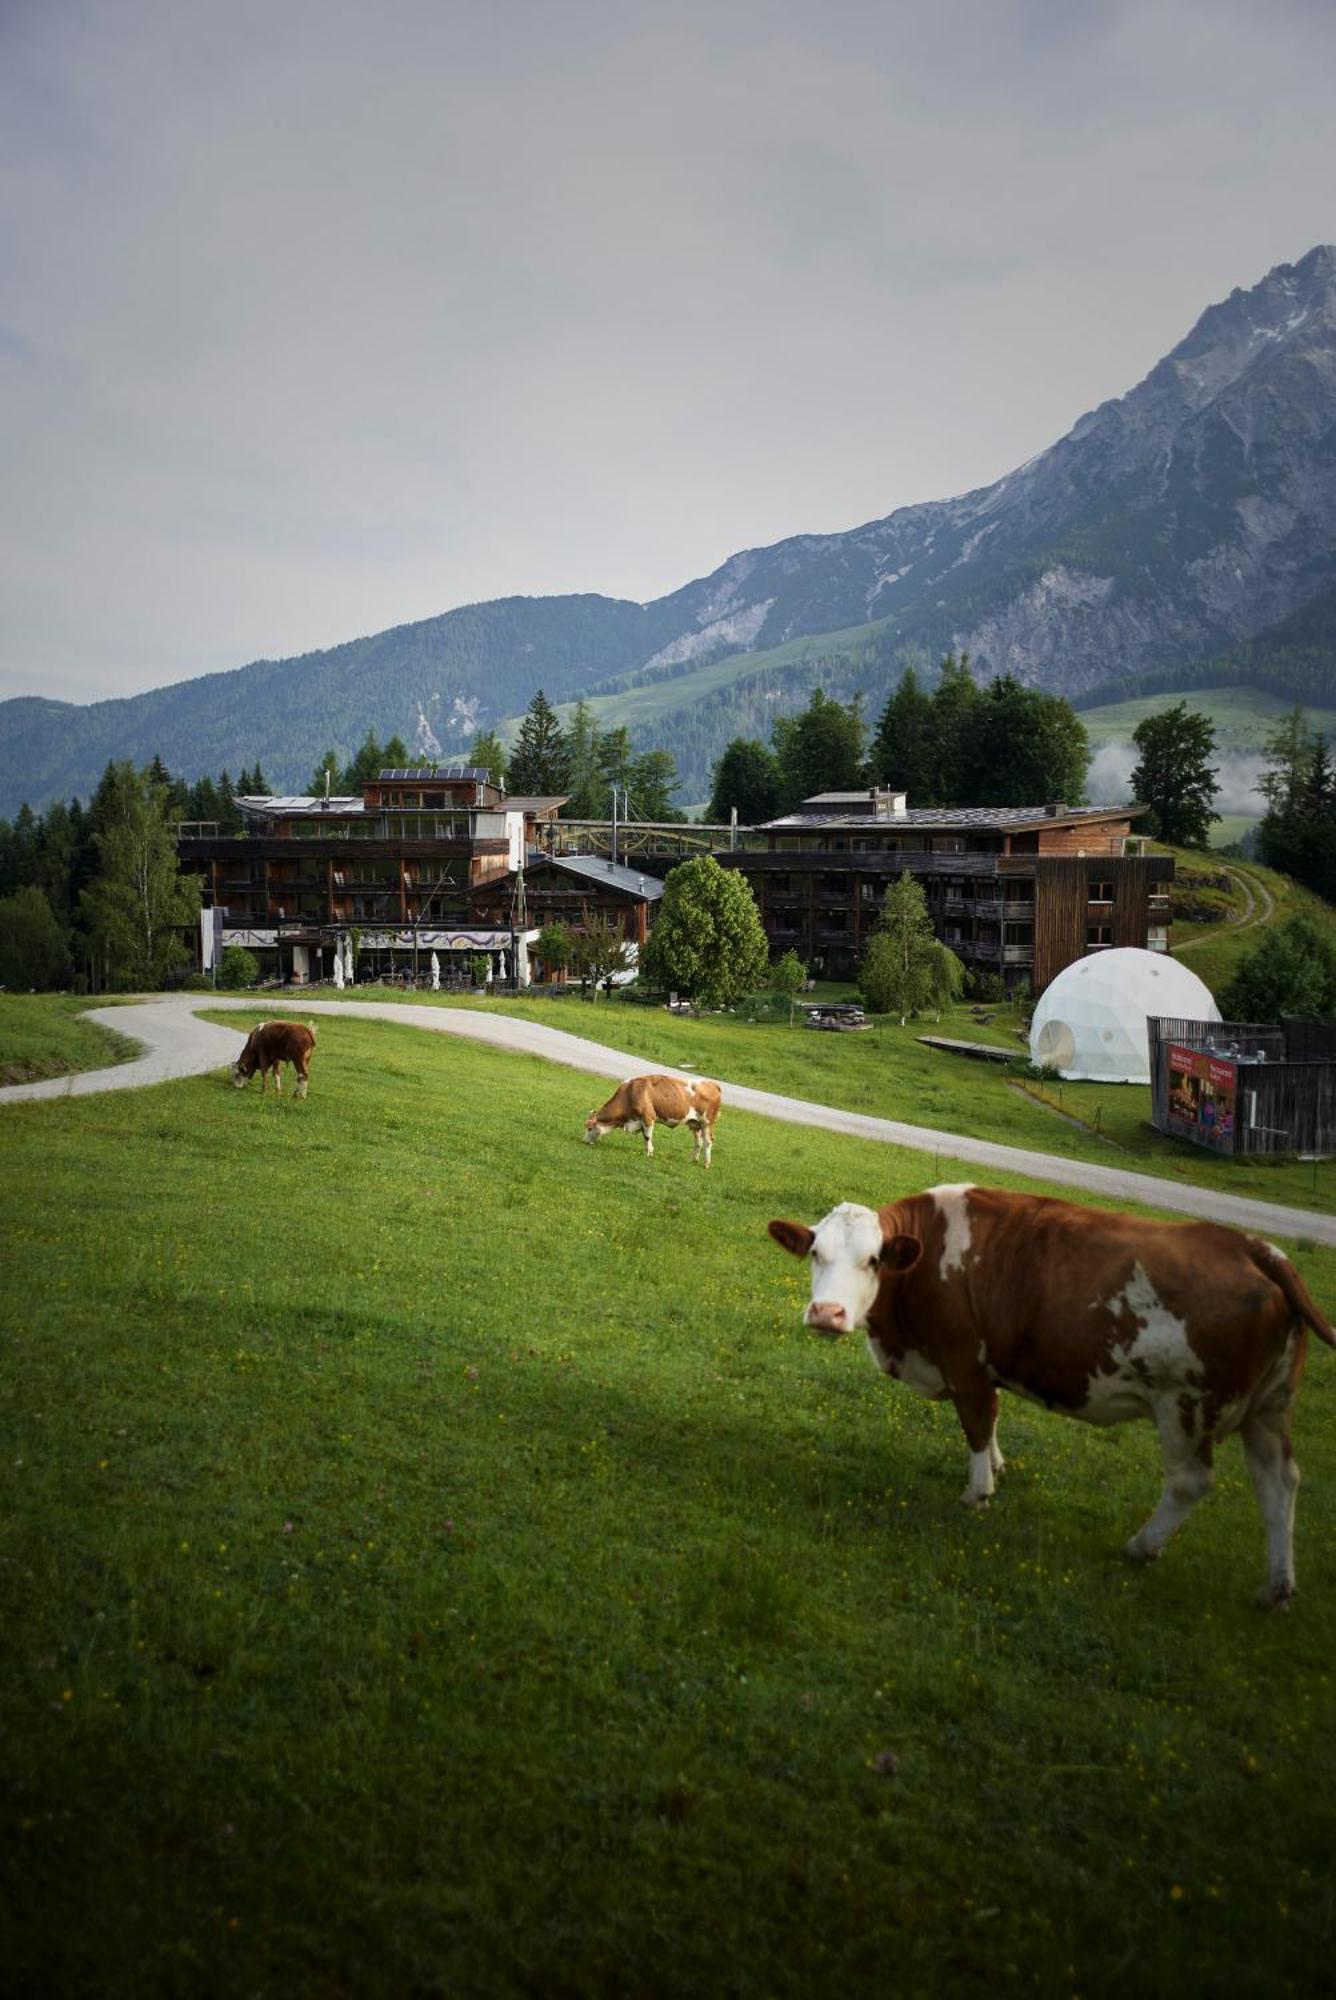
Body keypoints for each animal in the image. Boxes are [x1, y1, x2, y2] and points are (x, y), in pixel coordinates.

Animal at [580, 1072, 720, 1168]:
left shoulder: (648, 1117)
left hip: (706, 1123)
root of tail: (713, 1084)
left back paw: (706, 1164)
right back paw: (693, 1160)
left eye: (590, 1128)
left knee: (708, 1141)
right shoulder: (641, 1120)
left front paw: (648, 1153)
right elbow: (645, 1136)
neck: (631, 1092)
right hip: (695, 1124)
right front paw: (650, 1151)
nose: (583, 1141)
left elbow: (647, 1137)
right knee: (698, 1142)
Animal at [768, 1184, 1328, 1608]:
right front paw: (998, 1467)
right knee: (1279, 1483)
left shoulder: (963, 1360)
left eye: (874, 1260)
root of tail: (1253, 1248)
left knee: (1190, 1482)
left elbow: (977, 1422)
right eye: (816, 1253)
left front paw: (978, 1492)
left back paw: (1141, 1546)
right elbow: (992, 1421)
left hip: (1186, 1404)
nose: (827, 1313)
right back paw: (1277, 1588)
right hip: (1270, 1407)